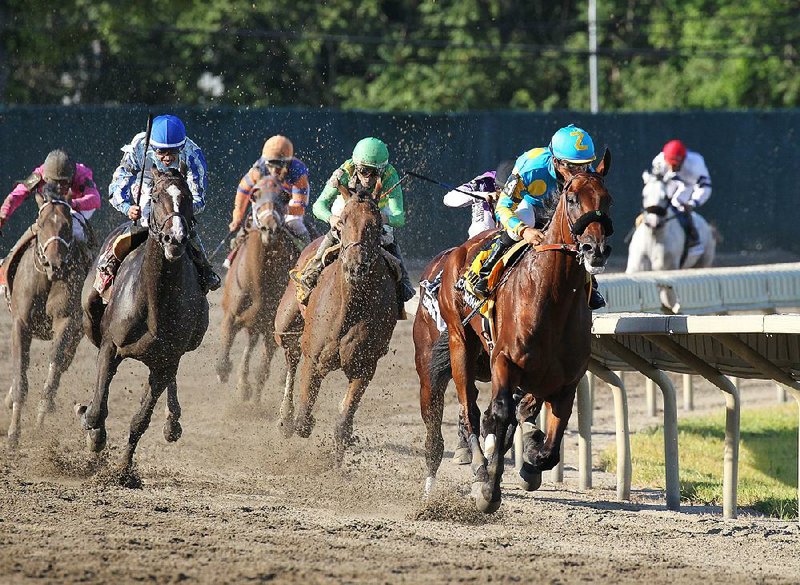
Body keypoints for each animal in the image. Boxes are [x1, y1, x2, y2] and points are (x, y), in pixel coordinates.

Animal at [76, 167, 208, 482]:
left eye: (187, 197)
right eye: (155, 196)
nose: (175, 239)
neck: (154, 305)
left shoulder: (166, 361)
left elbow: (141, 419)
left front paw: (124, 469)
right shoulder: (110, 347)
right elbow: (97, 409)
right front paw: (92, 433)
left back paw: (172, 422)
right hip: (90, 319)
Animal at [216, 176, 300, 400]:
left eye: (284, 196)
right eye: (255, 195)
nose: (269, 228)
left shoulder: (272, 325)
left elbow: (262, 369)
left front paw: (251, 395)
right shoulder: (231, 314)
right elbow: (224, 359)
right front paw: (231, 377)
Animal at [276, 189, 400, 458]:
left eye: (377, 224)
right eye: (342, 220)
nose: (356, 265)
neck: (349, 308)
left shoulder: (365, 367)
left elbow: (343, 422)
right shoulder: (313, 358)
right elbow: (304, 419)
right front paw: (300, 421)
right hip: (286, 321)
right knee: (290, 356)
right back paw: (285, 418)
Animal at [428, 151, 616, 512]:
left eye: (608, 199)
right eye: (572, 198)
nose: (595, 249)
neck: (552, 299)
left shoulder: (565, 381)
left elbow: (549, 446)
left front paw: (530, 461)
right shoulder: (504, 361)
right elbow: (500, 413)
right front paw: (487, 488)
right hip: (460, 344)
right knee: (471, 411)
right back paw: (478, 467)